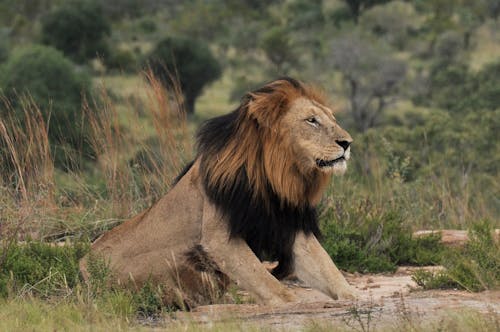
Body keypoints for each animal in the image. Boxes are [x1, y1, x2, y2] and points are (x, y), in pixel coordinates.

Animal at [79, 76, 356, 308]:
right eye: (312, 120)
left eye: (332, 118)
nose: (347, 143)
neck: (275, 179)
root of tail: (82, 264)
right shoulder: (219, 238)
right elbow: (268, 283)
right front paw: (292, 302)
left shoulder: (291, 228)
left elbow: (328, 268)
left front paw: (352, 297)